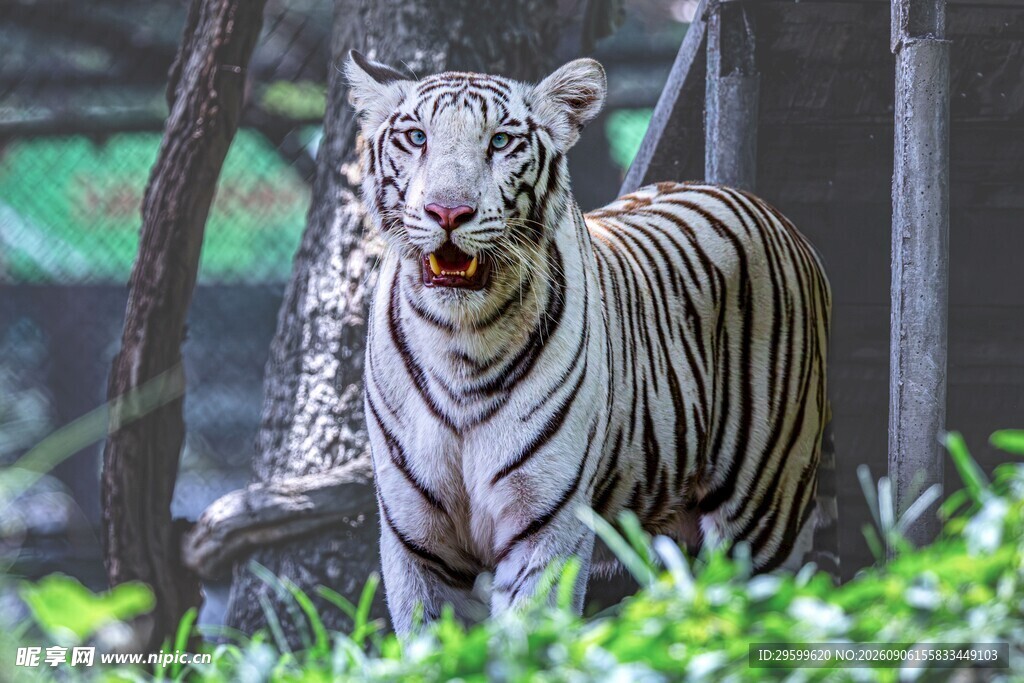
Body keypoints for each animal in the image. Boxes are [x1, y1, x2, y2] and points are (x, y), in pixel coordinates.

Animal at [346, 50, 833, 635]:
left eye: (501, 141)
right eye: (417, 137)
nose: (448, 212)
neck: (460, 342)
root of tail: (766, 207)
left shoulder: (544, 527)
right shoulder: (416, 541)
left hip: (765, 515)